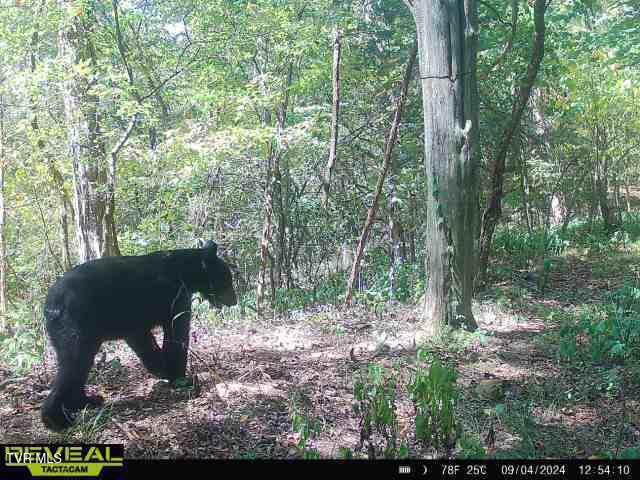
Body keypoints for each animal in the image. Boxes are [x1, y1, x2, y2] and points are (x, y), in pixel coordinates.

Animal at [42, 240, 238, 432]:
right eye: (227, 278)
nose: (234, 300)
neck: (185, 271)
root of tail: (49, 305)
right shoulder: (176, 297)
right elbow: (176, 337)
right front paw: (182, 379)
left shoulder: (134, 323)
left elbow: (145, 343)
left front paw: (163, 370)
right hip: (75, 325)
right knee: (73, 364)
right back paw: (56, 419)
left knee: (80, 367)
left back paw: (85, 401)